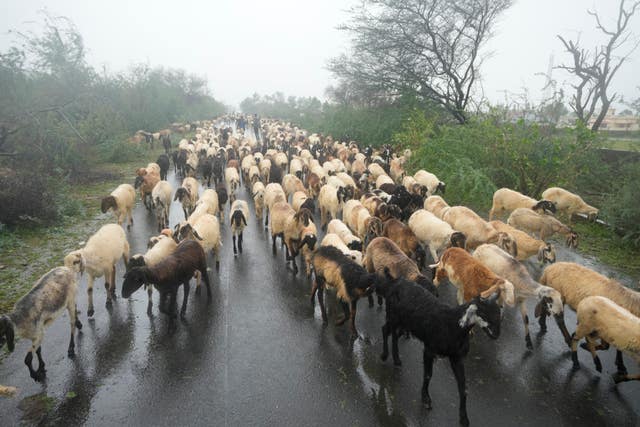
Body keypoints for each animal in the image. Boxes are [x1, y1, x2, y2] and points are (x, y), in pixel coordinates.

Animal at [378, 270, 502, 427]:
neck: (452, 324)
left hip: (403, 322)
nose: (496, 334)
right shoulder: (429, 350)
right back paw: (384, 355)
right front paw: (425, 399)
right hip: (393, 316)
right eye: (484, 313)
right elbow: (428, 374)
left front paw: (464, 418)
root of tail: (396, 281)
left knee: (394, 334)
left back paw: (396, 359)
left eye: (499, 314)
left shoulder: (456, 358)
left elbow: (463, 387)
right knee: (385, 329)